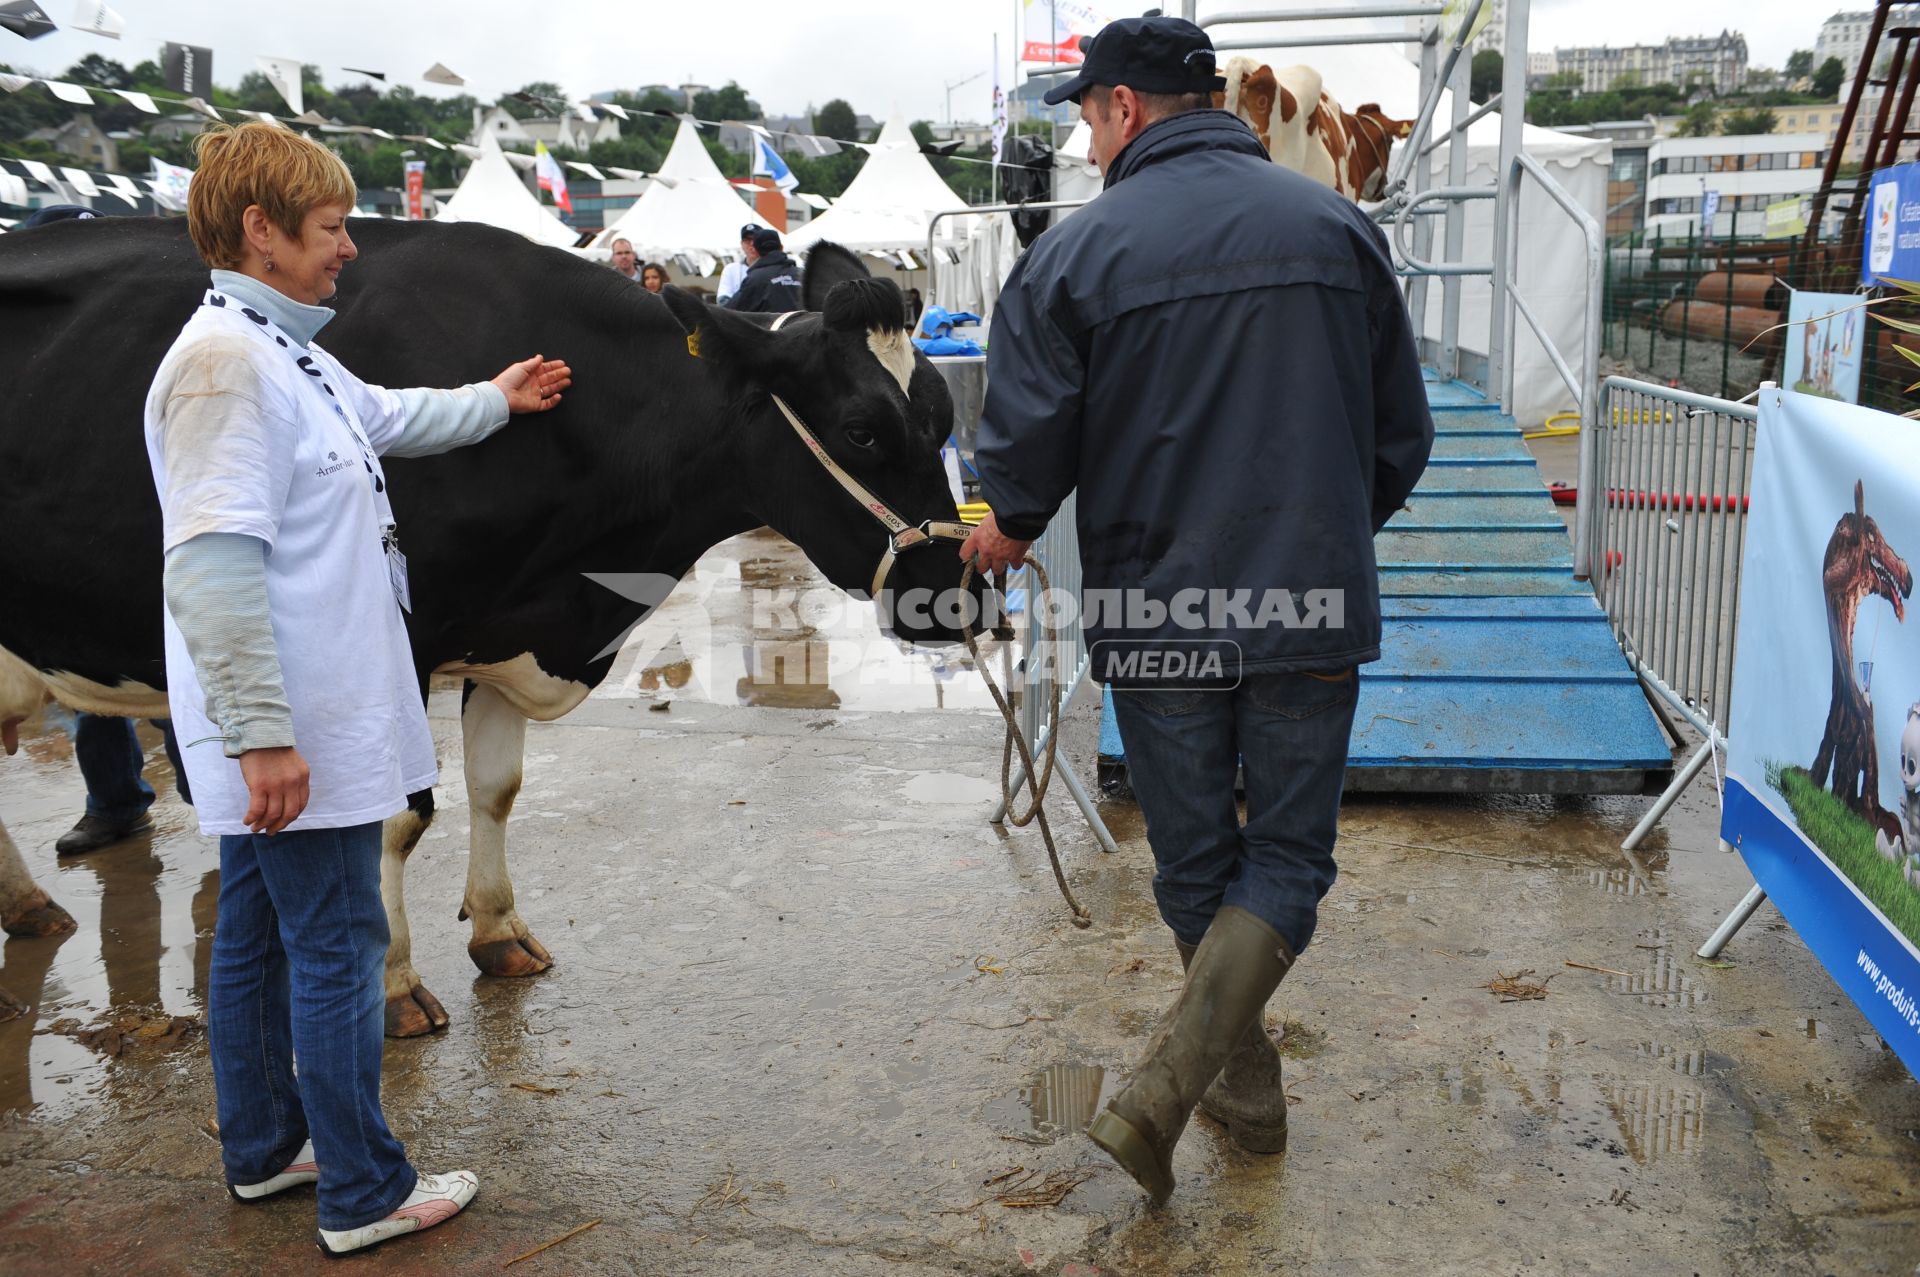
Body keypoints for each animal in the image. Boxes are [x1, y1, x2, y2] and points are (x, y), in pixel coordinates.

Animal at [0, 216, 975, 1036]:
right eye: (861, 430)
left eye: (942, 416)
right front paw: (391, 983)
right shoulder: (401, 638)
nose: (962, 596)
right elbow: (400, 817)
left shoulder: (508, 627)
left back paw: (29, 907)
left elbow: (497, 786)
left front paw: (499, 931)